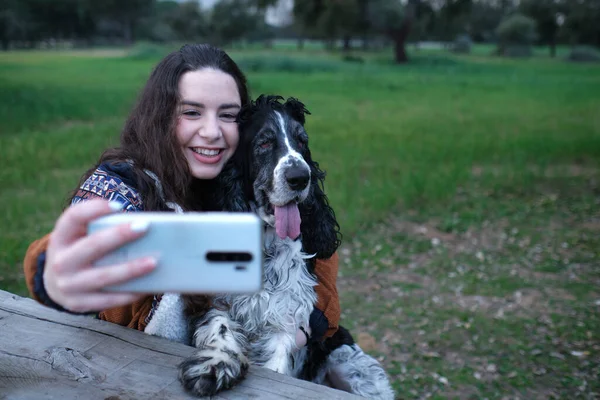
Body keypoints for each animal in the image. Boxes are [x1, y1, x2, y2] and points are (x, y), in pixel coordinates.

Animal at [177, 95, 394, 398]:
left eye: (302, 141)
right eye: (265, 143)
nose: (300, 177)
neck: (265, 245)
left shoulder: (287, 315)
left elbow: (277, 359)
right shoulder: (215, 299)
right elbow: (220, 327)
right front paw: (213, 367)